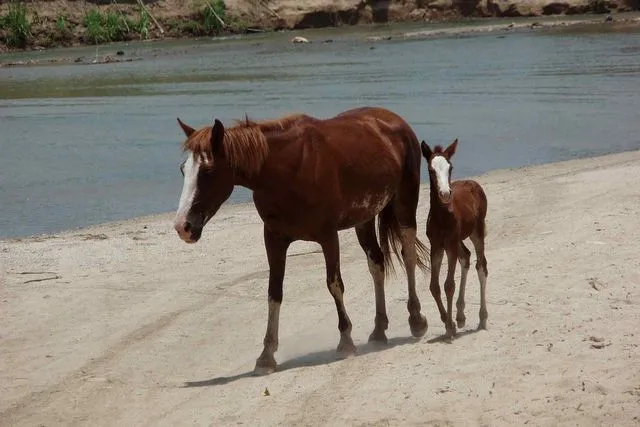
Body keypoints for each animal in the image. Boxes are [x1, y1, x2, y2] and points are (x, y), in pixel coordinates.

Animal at [173, 106, 431, 375]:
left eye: (208, 171)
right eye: (183, 170)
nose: (183, 227)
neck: (288, 169)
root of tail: (392, 119)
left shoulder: (328, 236)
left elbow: (334, 285)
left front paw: (345, 341)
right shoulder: (274, 239)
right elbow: (274, 292)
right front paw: (266, 355)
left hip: (405, 205)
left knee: (408, 255)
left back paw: (416, 319)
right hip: (365, 219)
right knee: (376, 264)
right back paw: (379, 330)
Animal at [420, 139, 488, 339]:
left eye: (450, 168)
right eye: (431, 169)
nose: (444, 193)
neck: (442, 217)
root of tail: (474, 183)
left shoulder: (449, 244)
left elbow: (449, 284)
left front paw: (450, 327)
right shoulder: (436, 245)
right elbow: (434, 286)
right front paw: (448, 321)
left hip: (477, 231)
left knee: (481, 266)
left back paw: (482, 317)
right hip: (459, 239)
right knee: (465, 257)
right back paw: (460, 316)